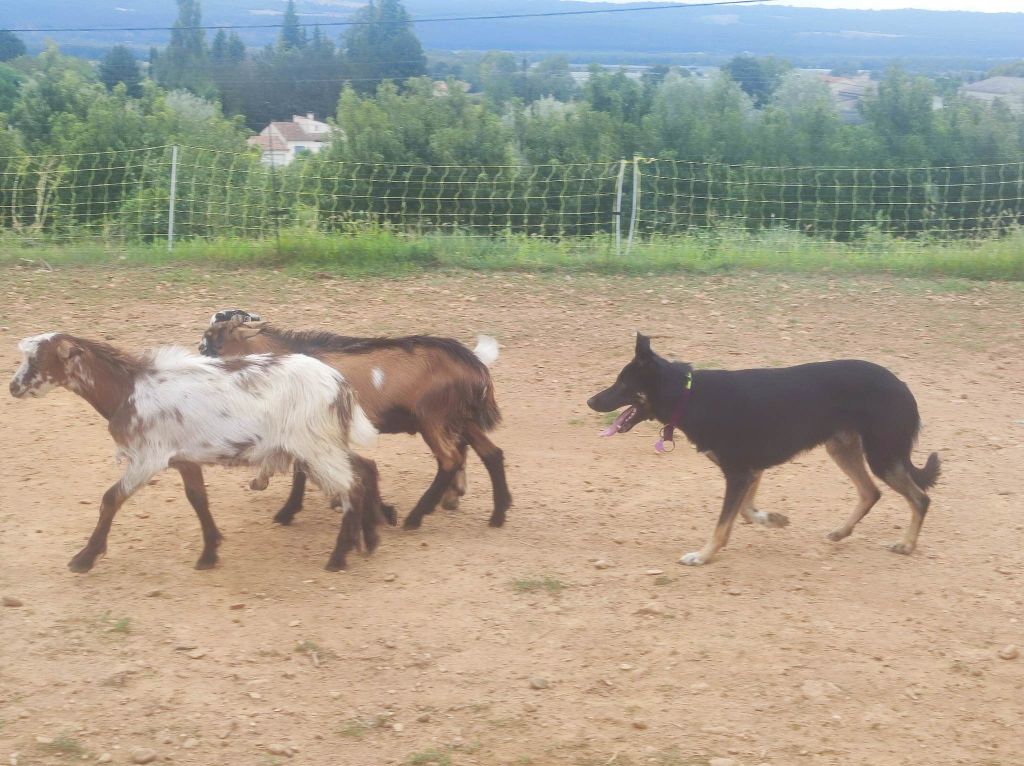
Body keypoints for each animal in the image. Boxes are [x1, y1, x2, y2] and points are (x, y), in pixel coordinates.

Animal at [197, 313, 509, 528]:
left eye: (215, 337)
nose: (200, 353)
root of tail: (474, 365)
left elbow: (301, 470)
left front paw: (286, 512)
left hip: (432, 418)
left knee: (450, 460)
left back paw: (416, 517)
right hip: (459, 417)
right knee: (491, 453)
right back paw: (498, 513)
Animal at [589, 333, 937, 561]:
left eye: (622, 383)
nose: (590, 401)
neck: (689, 393)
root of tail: (903, 386)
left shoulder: (739, 473)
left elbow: (723, 522)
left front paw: (703, 555)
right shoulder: (750, 471)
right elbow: (744, 511)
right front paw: (772, 519)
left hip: (882, 455)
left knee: (920, 498)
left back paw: (906, 544)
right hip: (842, 448)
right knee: (870, 492)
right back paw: (840, 532)